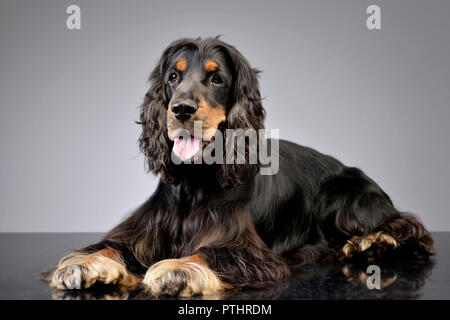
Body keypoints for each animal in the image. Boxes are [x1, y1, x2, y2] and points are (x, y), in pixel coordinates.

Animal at [44, 37, 434, 298]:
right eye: (173, 76)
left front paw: (178, 269)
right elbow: (113, 246)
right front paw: (84, 264)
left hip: (347, 197)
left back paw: (371, 244)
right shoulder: (144, 231)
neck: (195, 182)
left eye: (216, 78)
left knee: (411, 229)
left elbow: (209, 250)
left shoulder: (247, 248)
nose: (181, 109)